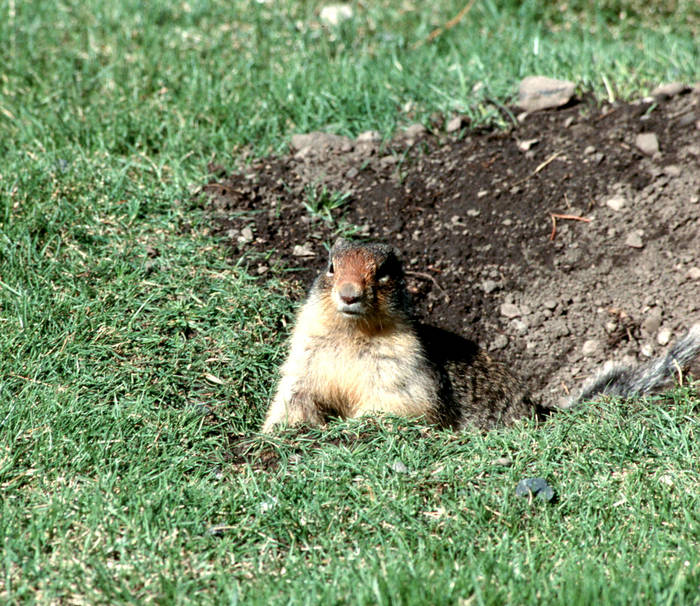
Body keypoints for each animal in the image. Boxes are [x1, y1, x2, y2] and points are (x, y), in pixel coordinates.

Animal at [262, 240, 700, 434]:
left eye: (384, 271)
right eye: (330, 266)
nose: (349, 294)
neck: (352, 334)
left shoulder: (404, 367)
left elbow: (399, 405)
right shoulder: (304, 359)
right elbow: (293, 399)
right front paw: (281, 433)